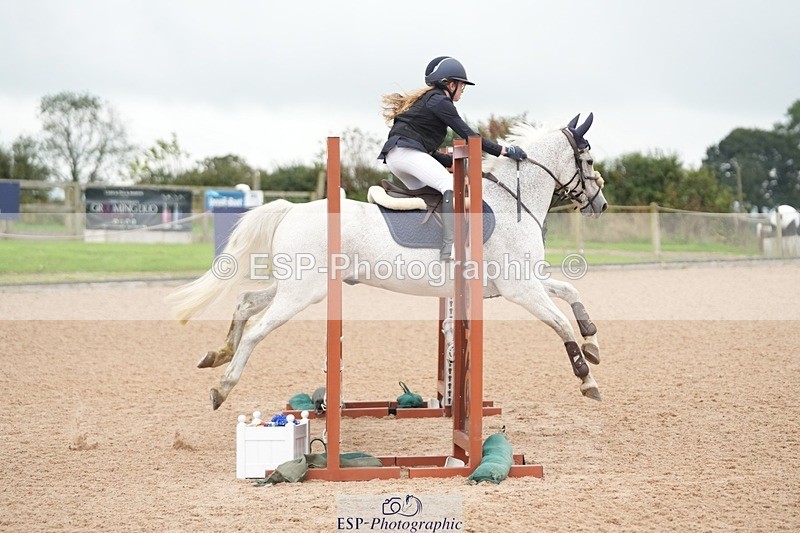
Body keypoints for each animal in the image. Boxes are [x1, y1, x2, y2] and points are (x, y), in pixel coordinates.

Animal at [167, 114, 608, 410]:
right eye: (587, 160)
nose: (600, 204)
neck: (510, 200)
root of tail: (290, 209)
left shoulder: (519, 282)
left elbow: (570, 291)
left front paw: (592, 339)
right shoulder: (520, 289)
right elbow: (559, 322)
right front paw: (587, 377)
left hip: (295, 286)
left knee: (245, 303)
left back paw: (217, 354)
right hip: (302, 294)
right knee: (257, 330)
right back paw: (223, 386)